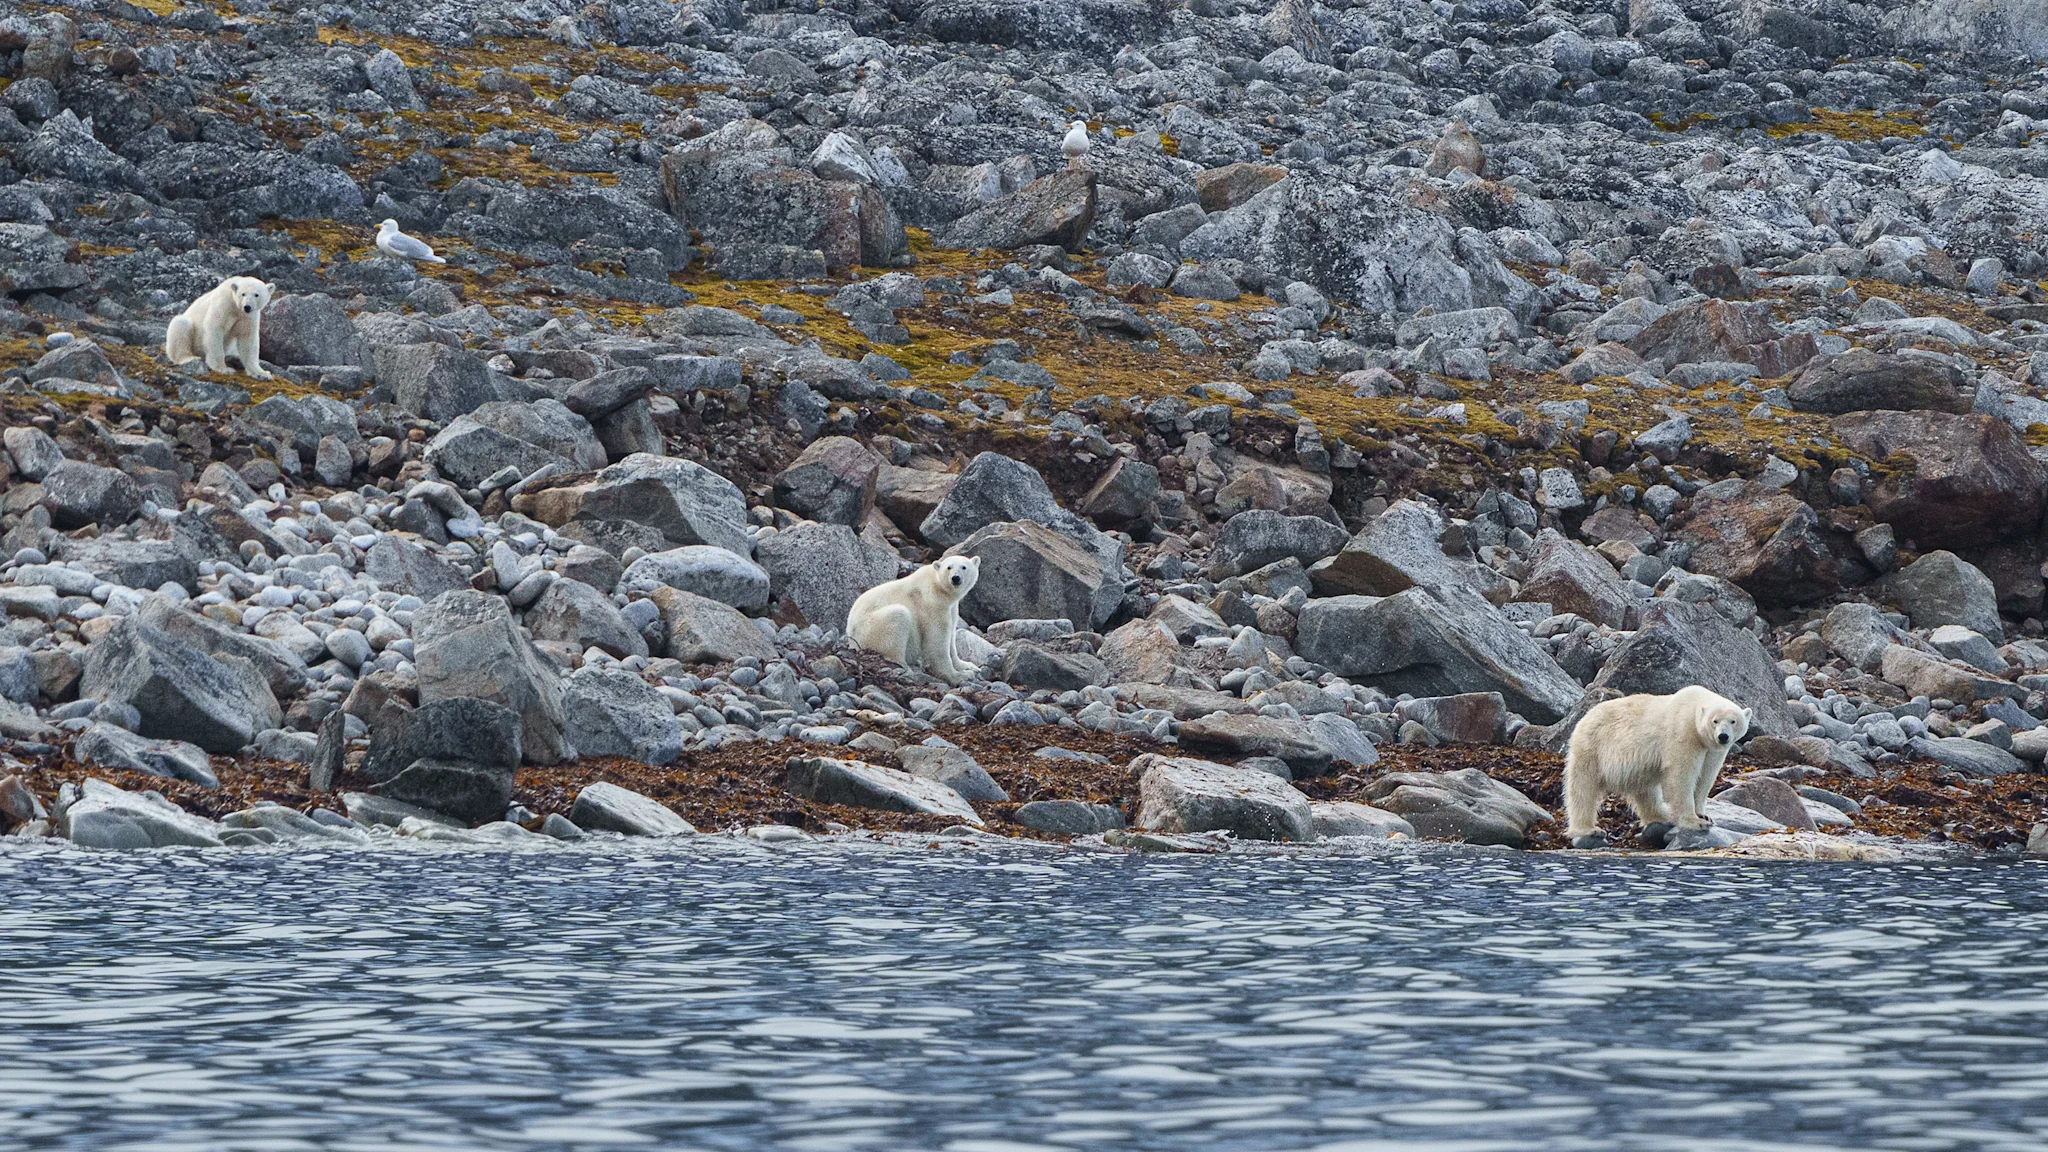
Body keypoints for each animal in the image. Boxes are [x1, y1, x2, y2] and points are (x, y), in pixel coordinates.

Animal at [847, 555, 981, 684]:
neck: (939, 588)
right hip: (869, 629)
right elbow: (937, 640)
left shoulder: (951, 608)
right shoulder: (932, 605)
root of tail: (850, 636)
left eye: (964, 567)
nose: (955, 578)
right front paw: (959, 676)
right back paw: (905, 669)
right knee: (898, 616)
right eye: (949, 567)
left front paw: (968, 666)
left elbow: (952, 636)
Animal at [1562, 684, 1752, 850]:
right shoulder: (1683, 733)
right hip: (1593, 746)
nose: (1723, 736)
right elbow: (1681, 775)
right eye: (1715, 721)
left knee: (1646, 791)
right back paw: (1588, 830)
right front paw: (1695, 822)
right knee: (1583, 787)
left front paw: (1704, 815)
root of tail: (1585, 716)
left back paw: (1661, 817)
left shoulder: (1712, 750)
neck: (1693, 708)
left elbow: (1706, 777)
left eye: (1733, 721)